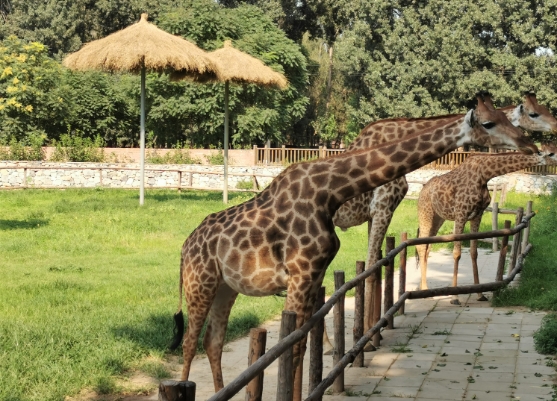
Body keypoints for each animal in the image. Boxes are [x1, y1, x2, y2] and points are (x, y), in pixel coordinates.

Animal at [169, 97, 536, 400]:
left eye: (507, 118)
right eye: (488, 123)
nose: (529, 144)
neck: (329, 191)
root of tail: (184, 247)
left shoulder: (313, 275)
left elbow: (304, 340)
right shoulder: (301, 273)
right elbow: (295, 346)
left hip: (226, 287)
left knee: (212, 341)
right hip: (200, 283)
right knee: (189, 344)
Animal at [414, 150, 552, 304]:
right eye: (552, 154)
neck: (484, 174)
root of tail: (422, 191)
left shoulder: (477, 215)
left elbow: (474, 252)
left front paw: (480, 294)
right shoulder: (461, 214)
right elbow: (457, 253)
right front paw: (455, 297)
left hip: (438, 218)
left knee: (427, 247)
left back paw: (423, 288)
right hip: (425, 214)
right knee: (421, 246)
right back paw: (425, 289)